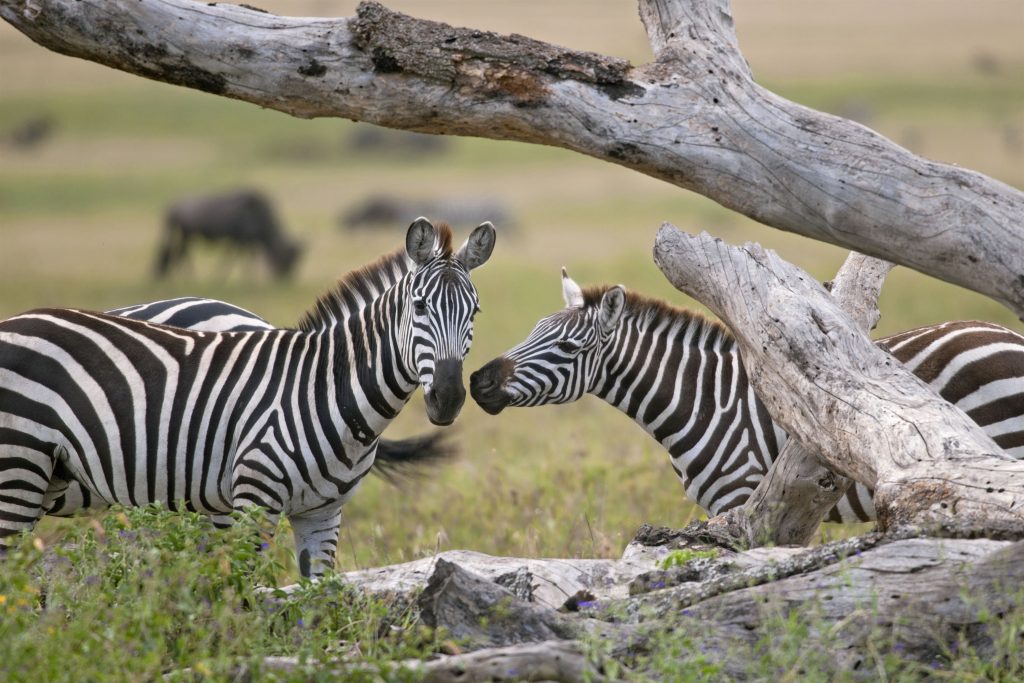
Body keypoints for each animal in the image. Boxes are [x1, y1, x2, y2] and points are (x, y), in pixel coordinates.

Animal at [0, 219, 495, 577]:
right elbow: (244, 598)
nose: (449, 398)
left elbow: (318, 604)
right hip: (19, 468)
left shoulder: (322, 515)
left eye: (475, 312)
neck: (325, 390)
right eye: (420, 308)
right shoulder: (254, 500)